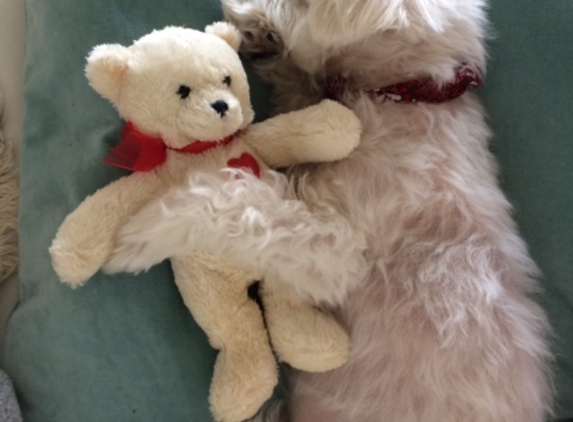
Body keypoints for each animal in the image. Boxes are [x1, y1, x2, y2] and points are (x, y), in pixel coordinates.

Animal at [109, 0, 552, 420]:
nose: (243, 18)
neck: (403, 93)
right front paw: (259, 32)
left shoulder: (336, 254)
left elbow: (241, 200)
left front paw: (144, 232)